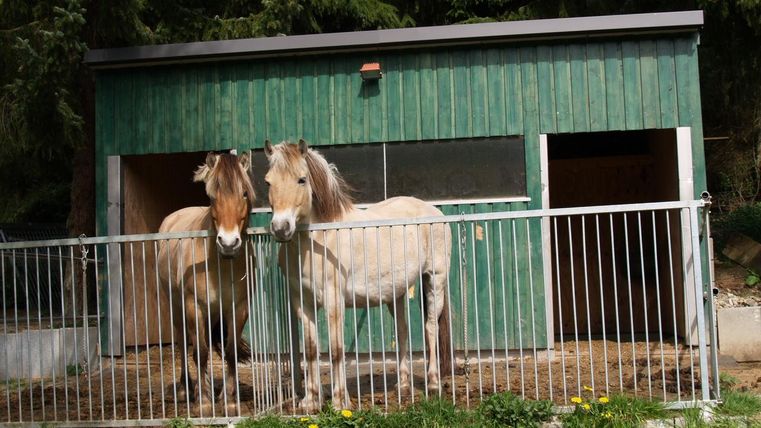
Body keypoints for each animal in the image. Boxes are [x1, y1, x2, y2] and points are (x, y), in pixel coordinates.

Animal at [157, 151, 254, 411]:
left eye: (244, 193)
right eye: (212, 196)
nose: (229, 243)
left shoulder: (239, 307)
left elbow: (230, 352)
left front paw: (229, 401)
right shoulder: (194, 306)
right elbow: (198, 352)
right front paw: (203, 403)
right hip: (176, 306)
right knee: (184, 343)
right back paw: (187, 389)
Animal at [263, 139, 452, 412]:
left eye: (301, 179)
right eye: (268, 182)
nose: (281, 228)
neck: (318, 241)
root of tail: (434, 211)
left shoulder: (334, 300)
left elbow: (336, 348)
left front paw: (340, 401)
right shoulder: (303, 303)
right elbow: (310, 349)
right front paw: (310, 401)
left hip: (435, 279)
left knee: (430, 327)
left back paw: (434, 384)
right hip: (397, 292)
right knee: (403, 330)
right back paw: (403, 385)